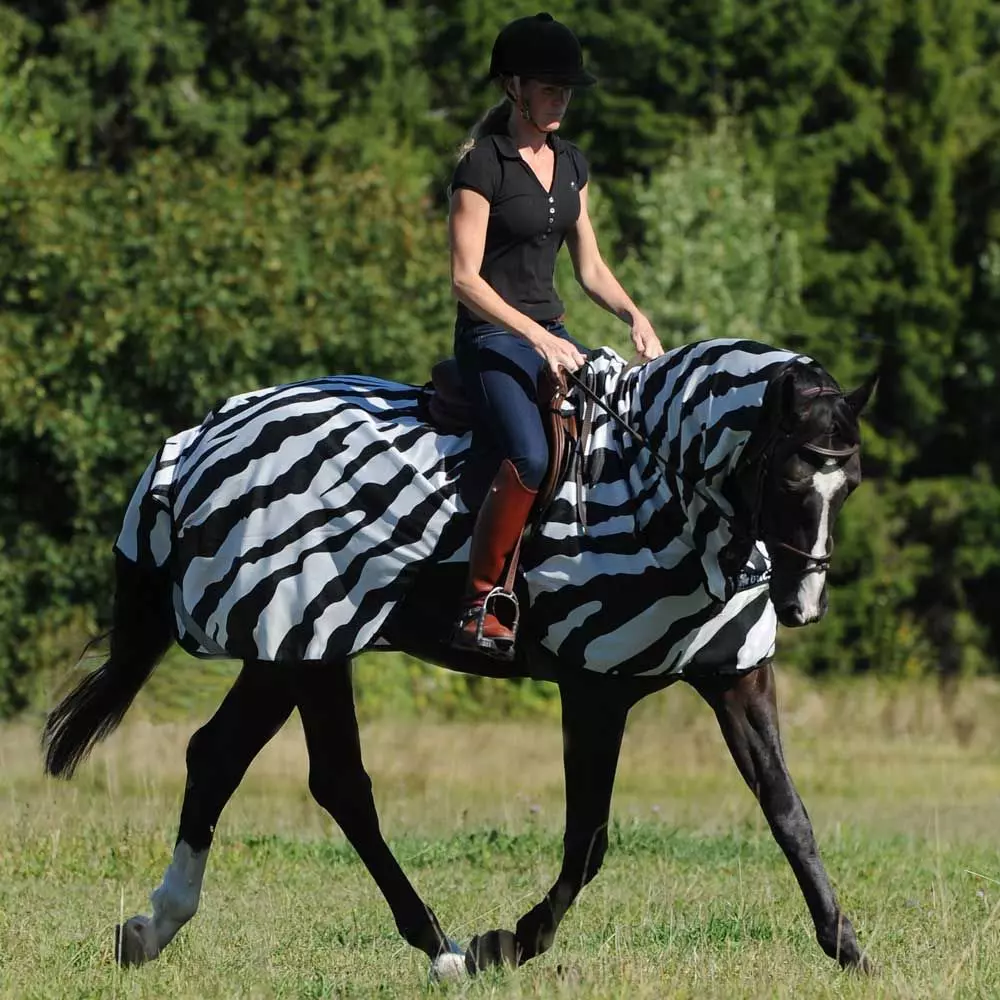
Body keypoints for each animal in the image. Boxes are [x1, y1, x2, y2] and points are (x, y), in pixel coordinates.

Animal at [43, 340, 876, 980]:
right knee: (316, 779)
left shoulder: (735, 676)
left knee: (243, 762)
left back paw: (157, 929)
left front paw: (849, 949)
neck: (660, 490)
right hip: (304, 645)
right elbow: (589, 840)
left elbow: (788, 813)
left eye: (851, 483)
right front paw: (507, 943)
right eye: (790, 474)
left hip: (295, 651)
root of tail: (196, 442)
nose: (803, 604)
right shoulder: (595, 689)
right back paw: (440, 949)